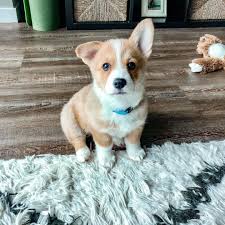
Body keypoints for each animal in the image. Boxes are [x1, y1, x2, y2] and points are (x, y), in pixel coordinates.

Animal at [60, 18, 154, 167]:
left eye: (131, 65)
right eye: (105, 66)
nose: (119, 82)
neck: (120, 106)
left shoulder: (137, 127)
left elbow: (133, 142)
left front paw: (135, 153)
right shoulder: (100, 131)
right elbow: (105, 146)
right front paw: (106, 159)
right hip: (70, 122)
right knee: (78, 139)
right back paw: (83, 153)